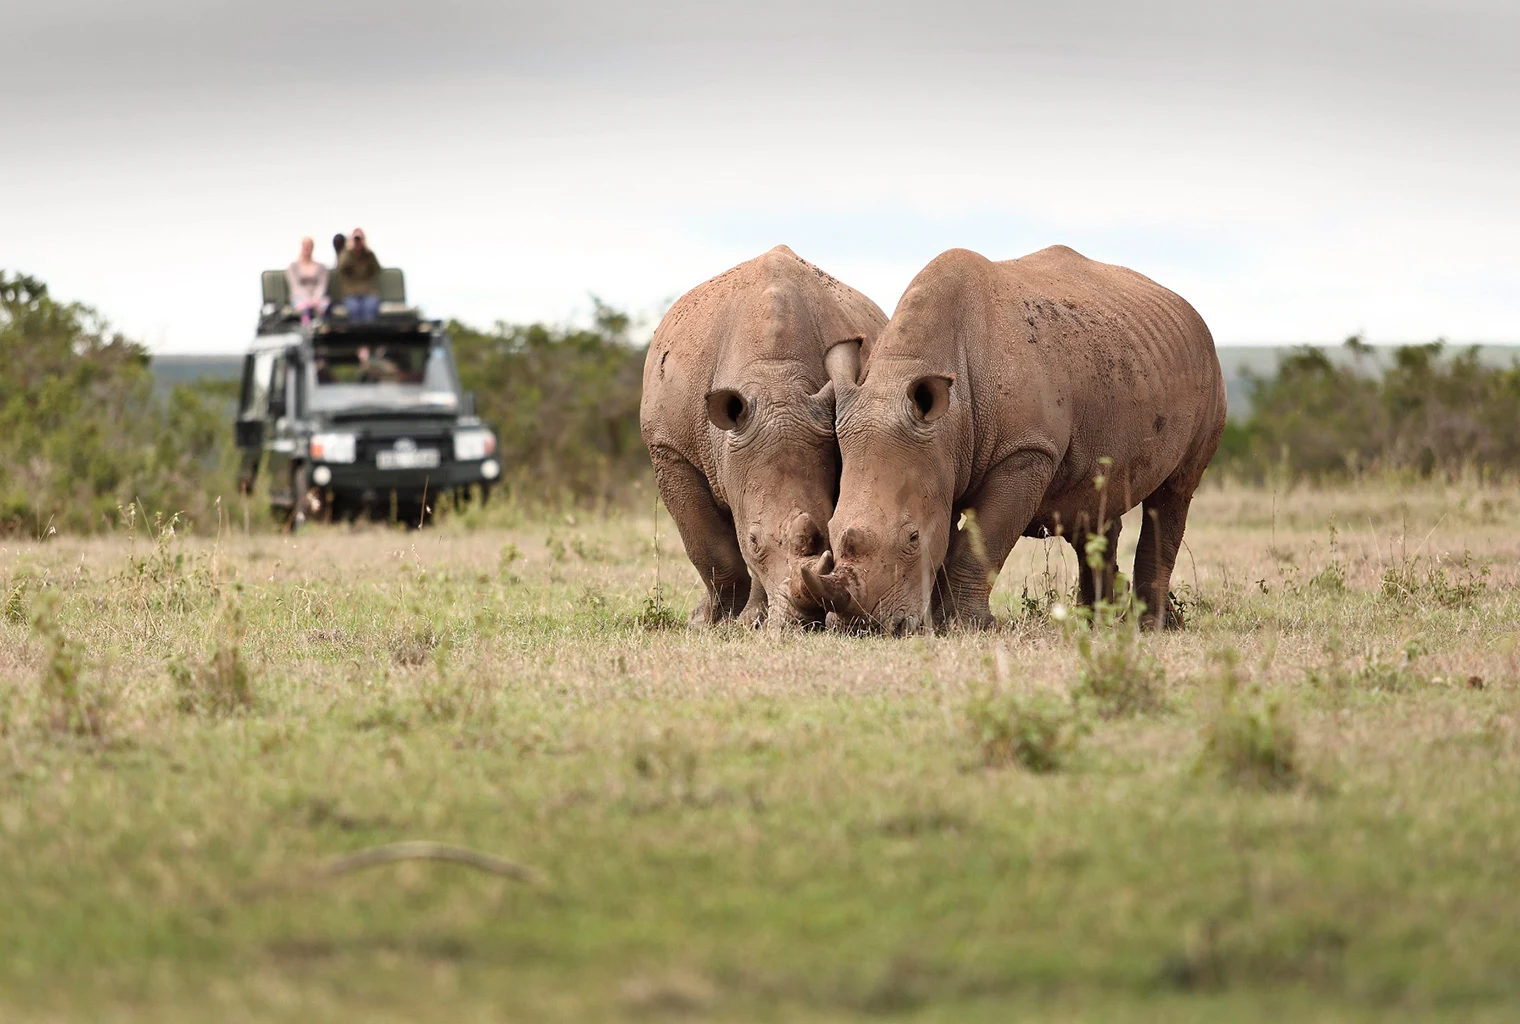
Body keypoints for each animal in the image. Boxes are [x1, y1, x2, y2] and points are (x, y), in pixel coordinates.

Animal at [641, 245, 888, 628]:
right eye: (754, 539)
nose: (805, 620)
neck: (775, 381)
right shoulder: (670, 447)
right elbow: (712, 549)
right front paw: (709, 622)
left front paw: (750, 621)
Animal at [802, 245, 1226, 633]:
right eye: (832, 530)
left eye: (912, 537)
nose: (861, 627)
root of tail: (1187, 309)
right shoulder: (938, 456)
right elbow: (950, 538)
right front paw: (939, 623)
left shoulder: (1026, 452)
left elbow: (980, 543)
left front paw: (968, 626)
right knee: (1095, 499)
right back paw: (1097, 623)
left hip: (1207, 369)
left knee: (1175, 492)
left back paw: (1152, 626)